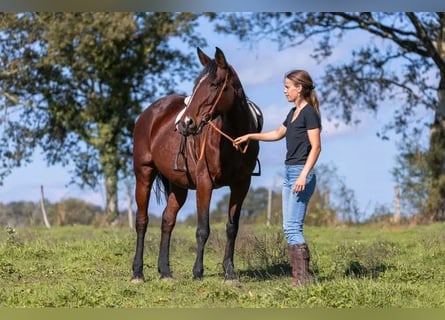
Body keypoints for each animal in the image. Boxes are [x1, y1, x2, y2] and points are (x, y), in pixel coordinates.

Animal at [130, 47, 262, 282]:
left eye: (215, 84)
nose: (186, 123)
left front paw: (230, 272)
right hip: (144, 174)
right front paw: (198, 271)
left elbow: (232, 227)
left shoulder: (241, 184)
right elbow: (202, 229)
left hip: (178, 186)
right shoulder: (204, 182)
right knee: (142, 221)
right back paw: (137, 272)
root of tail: (149, 113)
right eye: (195, 85)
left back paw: (165, 271)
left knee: (167, 220)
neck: (232, 138)